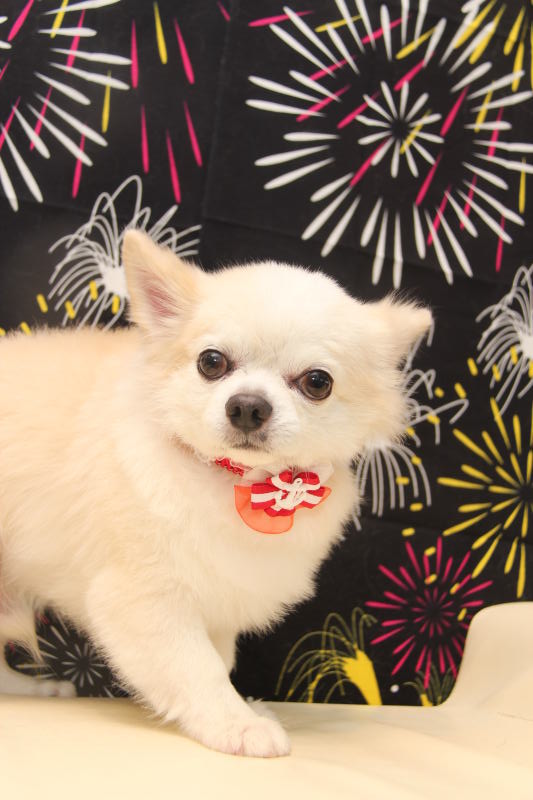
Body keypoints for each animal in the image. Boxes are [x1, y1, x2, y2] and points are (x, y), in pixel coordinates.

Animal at [0, 229, 431, 756]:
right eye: (212, 363)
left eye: (317, 382)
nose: (247, 405)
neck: (238, 483)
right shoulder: (143, 600)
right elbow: (196, 669)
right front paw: (236, 723)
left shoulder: (218, 600)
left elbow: (220, 660)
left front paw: (245, 708)